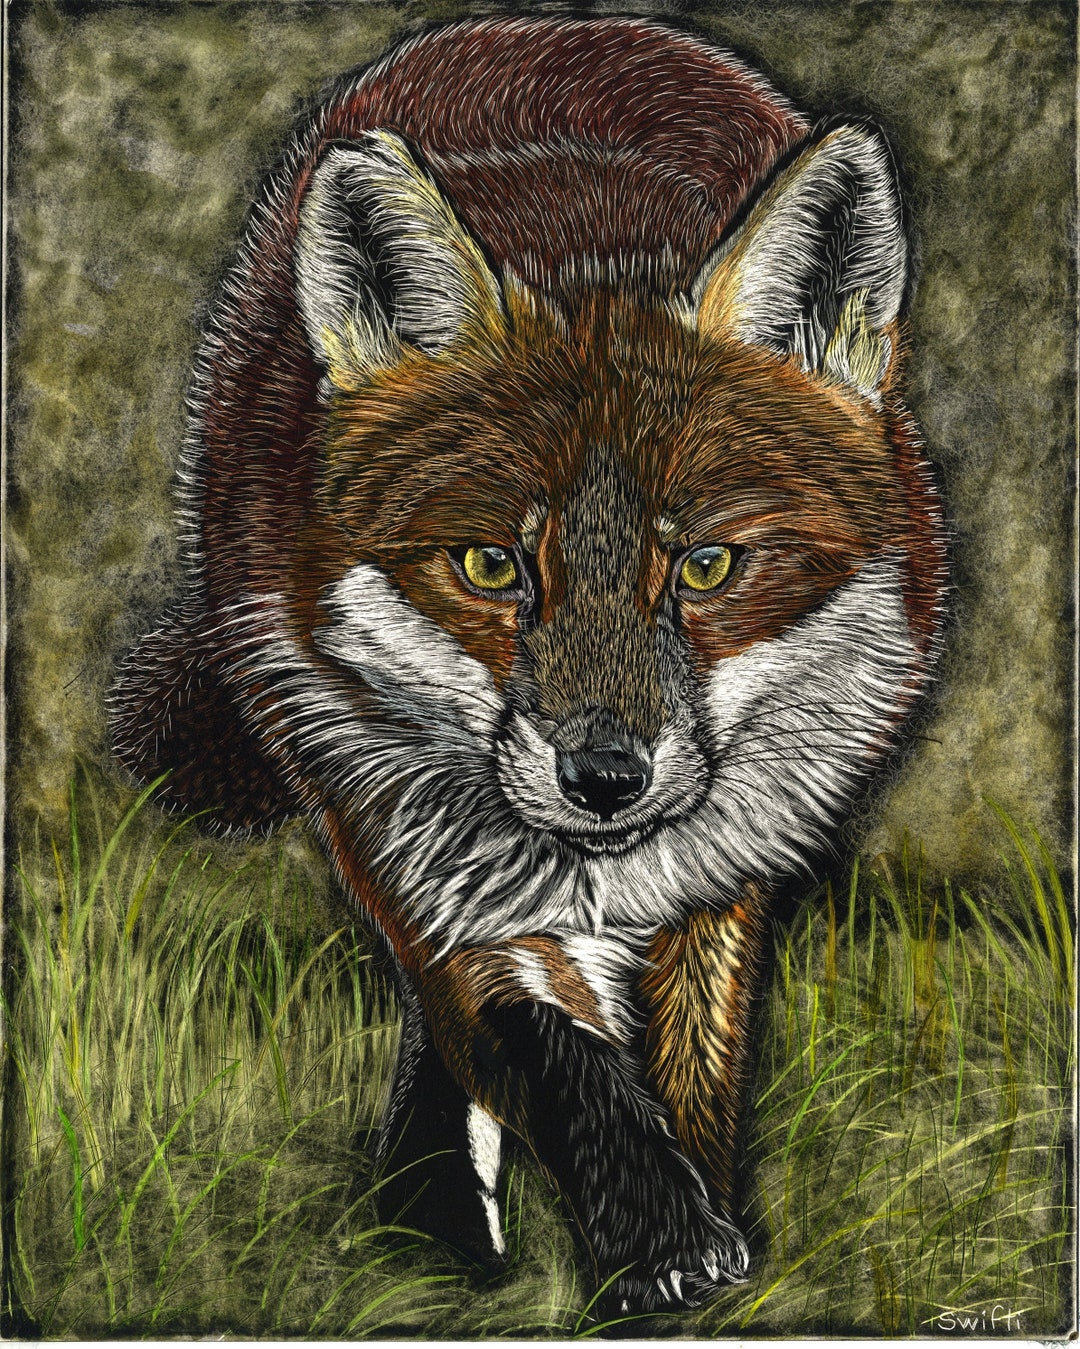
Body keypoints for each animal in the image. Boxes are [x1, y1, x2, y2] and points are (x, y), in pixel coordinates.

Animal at [111, 15, 948, 1316]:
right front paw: (654, 1236)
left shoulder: (722, 875)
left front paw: (689, 1236)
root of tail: (563, 23)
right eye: (492, 565)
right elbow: (544, 1046)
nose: (603, 777)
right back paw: (432, 1215)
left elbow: (692, 1068)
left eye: (706, 566)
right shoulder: (407, 834)